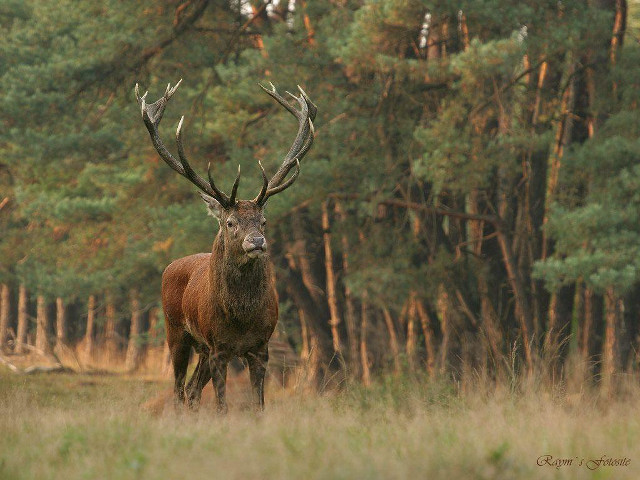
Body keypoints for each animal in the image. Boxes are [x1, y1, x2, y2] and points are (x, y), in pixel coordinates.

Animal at [135, 80, 316, 412]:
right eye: (230, 222)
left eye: (263, 220)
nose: (256, 242)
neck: (241, 320)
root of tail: (171, 266)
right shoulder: (219, 347)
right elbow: (222, 405)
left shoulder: (261, 347)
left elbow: (259, 405)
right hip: (176, 332)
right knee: (179, 389)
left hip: (203, 350)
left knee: (192, 390)